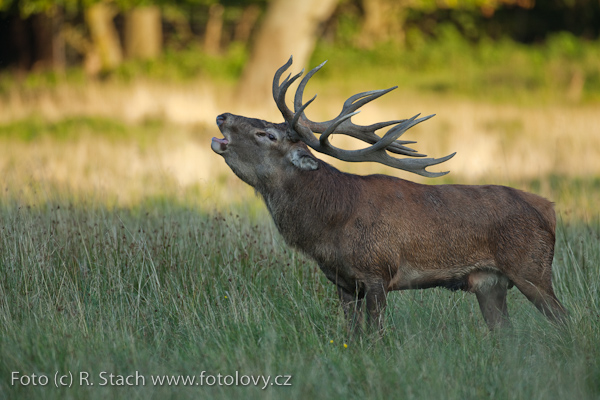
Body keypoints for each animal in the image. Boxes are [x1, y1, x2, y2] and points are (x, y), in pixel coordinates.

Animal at [211, 55, 568, 332]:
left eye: (267, 134)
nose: (222, 116)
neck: (329, 224)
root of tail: (549, 209)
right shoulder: (342, 282)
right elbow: (352, 335)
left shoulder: (377, 271)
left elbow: (376, 336)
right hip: (489, 283)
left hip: (531, 268)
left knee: (566, 321)